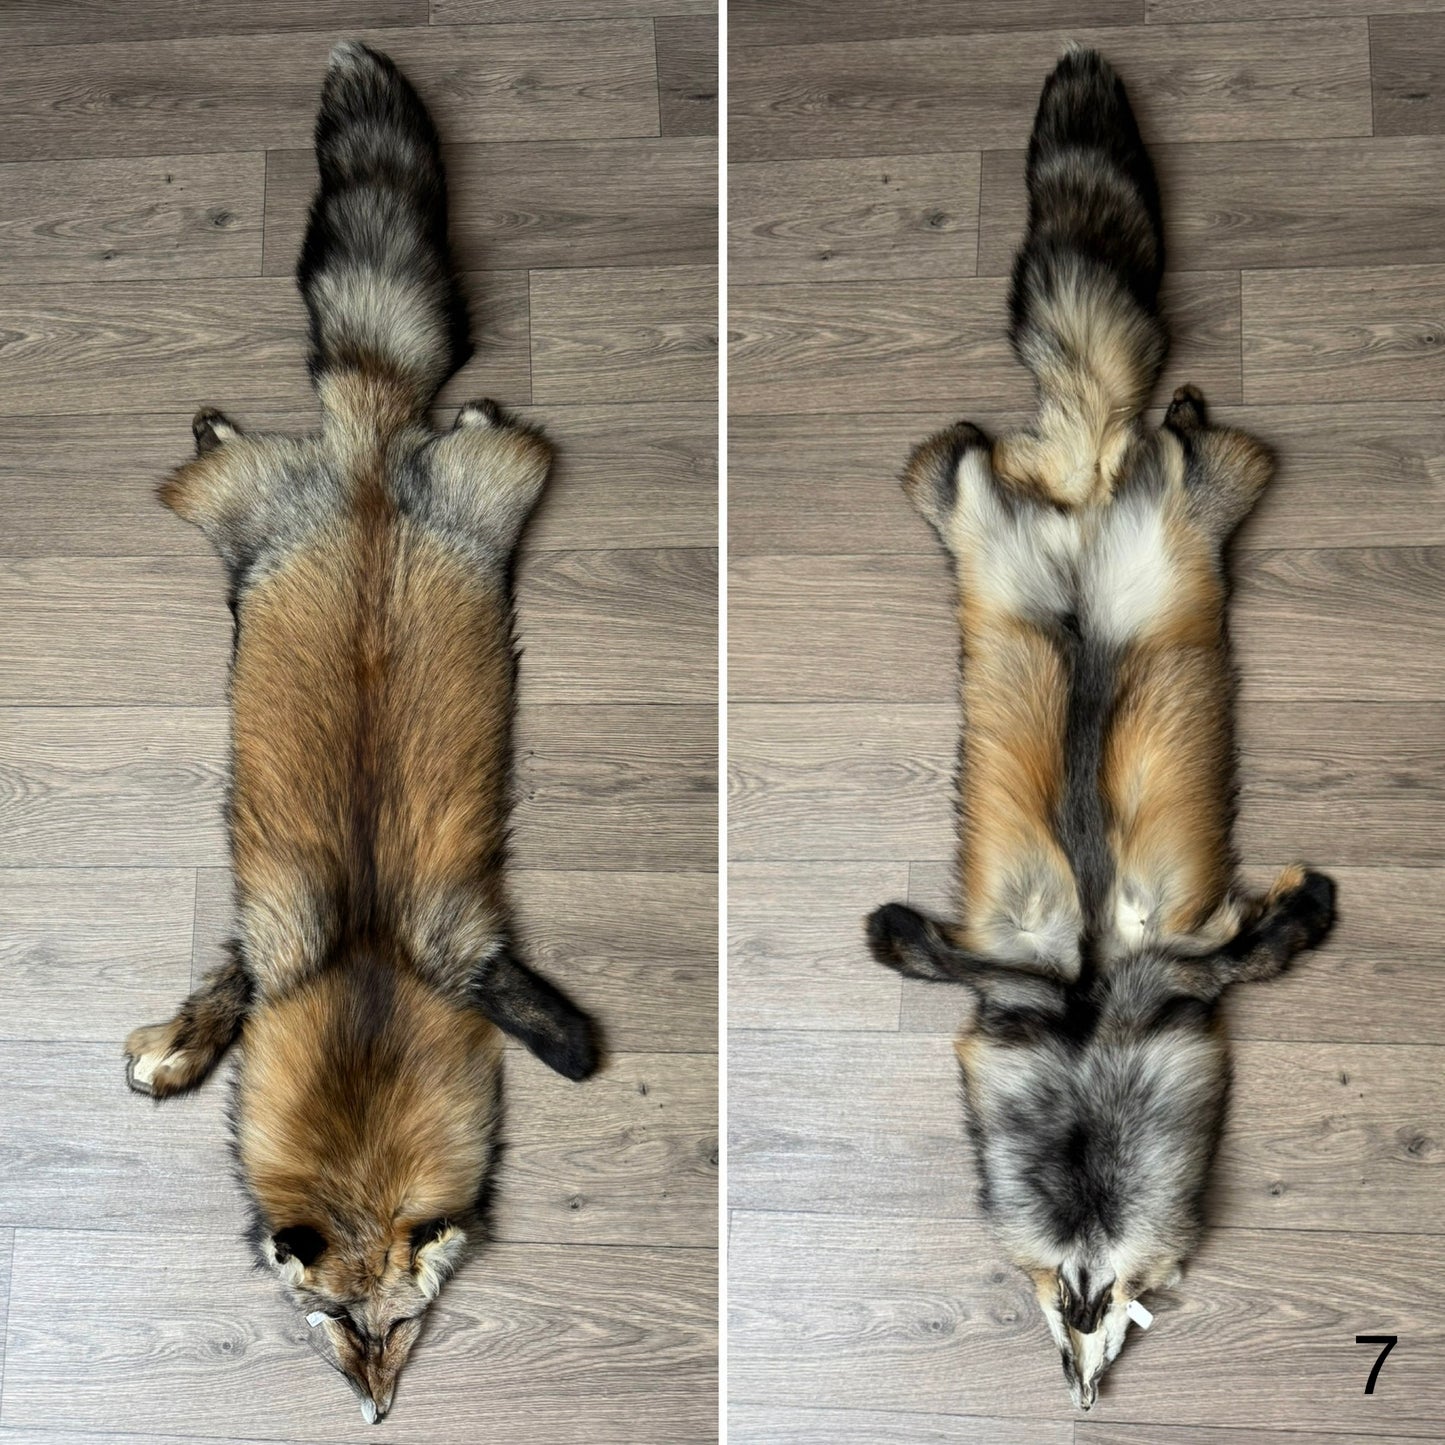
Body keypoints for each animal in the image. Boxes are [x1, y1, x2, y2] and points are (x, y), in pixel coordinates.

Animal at [121, 41, 600, 1422]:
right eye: (333, 1322)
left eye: (403, 1323)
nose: (379, 1411)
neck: (372, 964)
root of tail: (370, 445)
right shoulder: (285, 942)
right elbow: (217, 999)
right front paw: (173, 1057)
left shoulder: (461, 948)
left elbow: (570, 1045)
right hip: (245, 509)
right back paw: (227, 421)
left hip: (495, 488)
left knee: (484, 423)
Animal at [865, 48, 1336, 1410]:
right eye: (1067, 1320)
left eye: (1111, 1317)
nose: (1079, 1381)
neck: (1083, 1034)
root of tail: (1086, 477)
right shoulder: (1030, 985)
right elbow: (939, 951)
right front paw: (889, 933)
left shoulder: (1147, 978)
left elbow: (1252, 947)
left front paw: (1306, 907)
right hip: (1008, 520)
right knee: (976, 449)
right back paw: (1147, 410)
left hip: (1186, 503)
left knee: (1079, 445)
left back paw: (1165, 410)